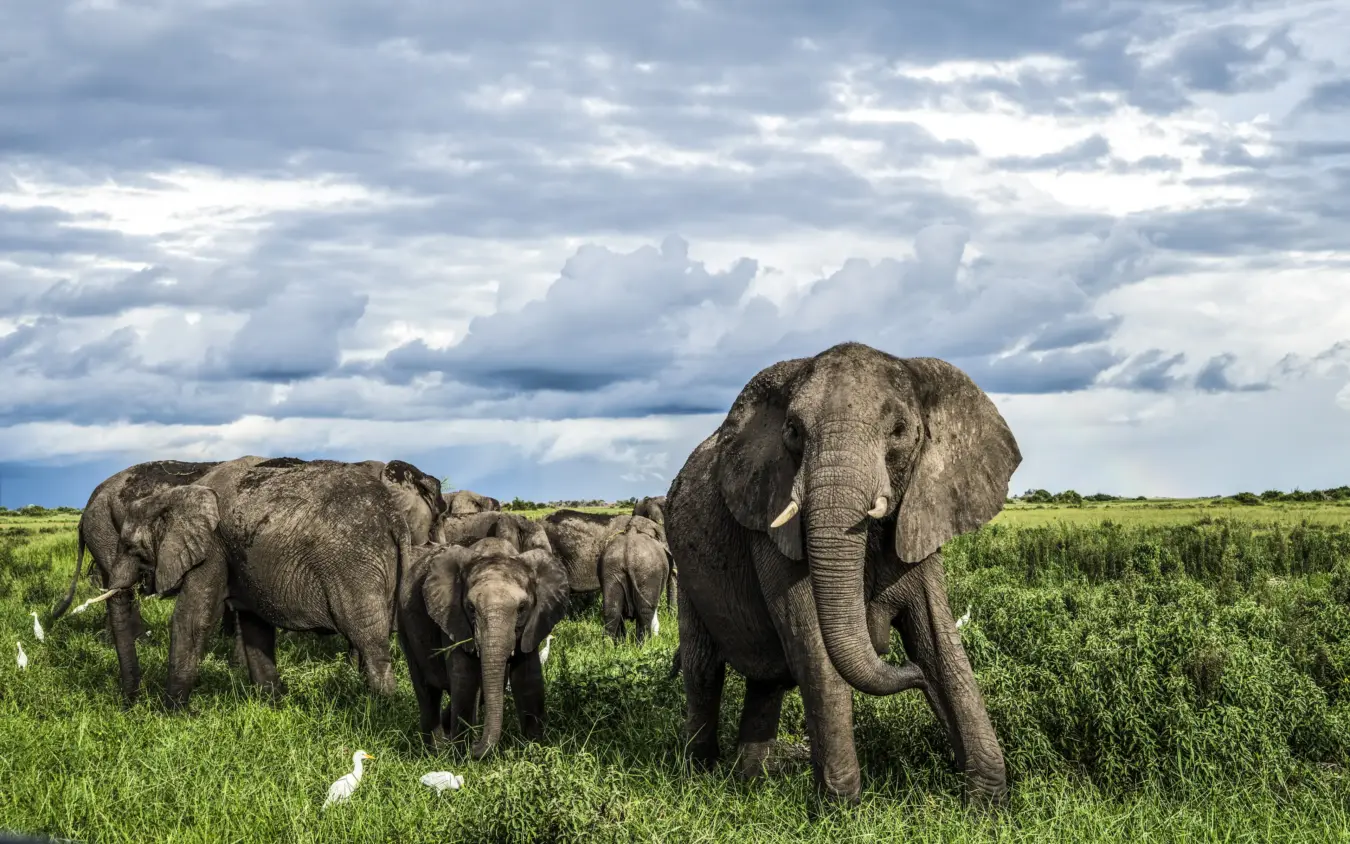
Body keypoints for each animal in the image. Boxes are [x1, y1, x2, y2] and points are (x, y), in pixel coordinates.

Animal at [94, 457, 416, 707]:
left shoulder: (213, 548)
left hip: (354, 565)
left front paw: (172, 712)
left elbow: (193, 618)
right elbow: (254, 626)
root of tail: (394, 517)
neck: (178, 493)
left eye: (132, 547)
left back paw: (380, 708)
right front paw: (272, 704)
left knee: (368, 638)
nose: (130, 703)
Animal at [397, 536, 569, 757]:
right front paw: (462, 757)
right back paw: (436, 752)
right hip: (404, 625)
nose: (475, 745)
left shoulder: (534, 623)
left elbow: (528, 678)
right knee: (427, 692)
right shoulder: (453, 617)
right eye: (471, 608)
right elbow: (465, 678)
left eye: (522, 608)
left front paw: (535, 750)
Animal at [598, 514, 674, 644]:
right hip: (648, 572)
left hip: (610, 569)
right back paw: (644, 645)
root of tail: (628, 550)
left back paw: (609, 646)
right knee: (645, 611)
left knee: (611, 610)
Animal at [665, 342, 1021, 806]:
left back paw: (751, 782)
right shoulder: (770, 513)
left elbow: (938, 639)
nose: (911, 673)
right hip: (686, 571)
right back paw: (700, 778)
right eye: (793, 430)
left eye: (900, 430)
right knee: (704, 669)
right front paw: (842, 809)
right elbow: (812, 639)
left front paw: (986, 805)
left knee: (765, 682)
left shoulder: (923, 508)